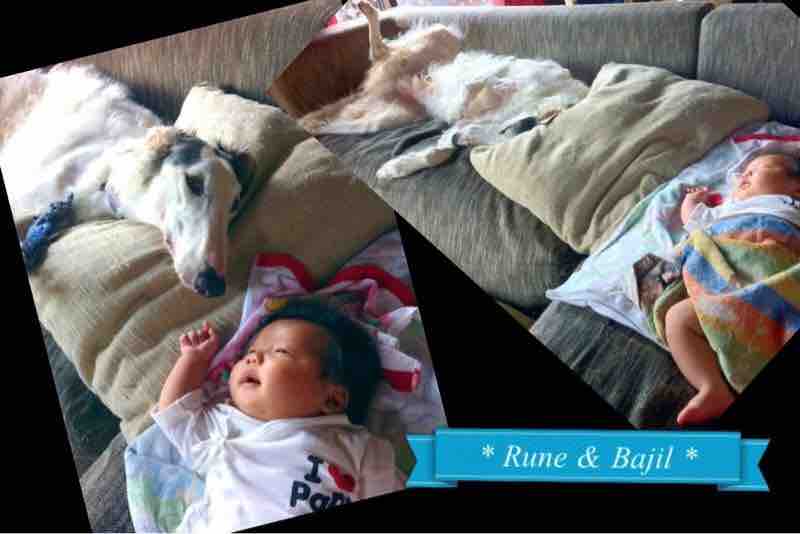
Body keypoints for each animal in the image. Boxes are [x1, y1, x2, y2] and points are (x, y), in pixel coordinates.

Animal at [299, 0, 589, 180]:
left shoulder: (468, 124)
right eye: (508, 132)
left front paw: (398, 167)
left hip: (393, 114)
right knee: (381, 48)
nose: (460, 139)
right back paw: (370, 12)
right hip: (429, 42)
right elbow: (487, 80)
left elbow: (437, 153)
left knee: (352, 122)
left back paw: (311, 126)